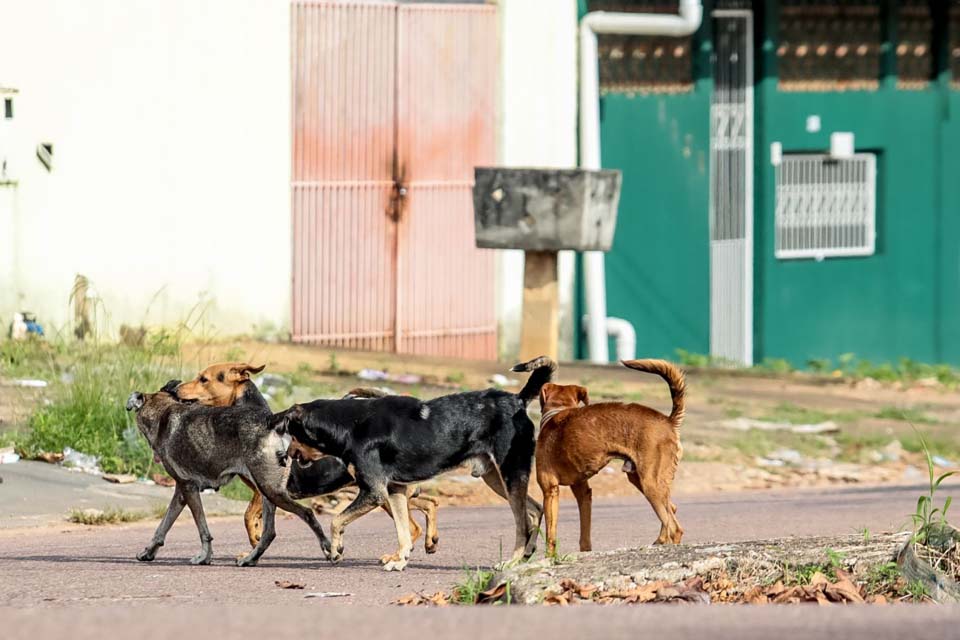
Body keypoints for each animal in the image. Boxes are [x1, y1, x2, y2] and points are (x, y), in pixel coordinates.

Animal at [124, 380, 334, 564]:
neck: (163, 412)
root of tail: (271, 421)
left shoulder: (188, 487)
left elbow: (203, 529)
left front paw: (204, 557)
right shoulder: (182, 492)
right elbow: (163, 526)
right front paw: (149, 551)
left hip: (271, 490)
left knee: (307, 513)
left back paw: (328, 547)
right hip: (267, 493)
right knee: (269, 532)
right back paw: (250, 559)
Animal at [274, 358, 556, 572]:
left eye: (292, 434)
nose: (284, 455)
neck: (349, 424)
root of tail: (518, 400)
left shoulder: (374, 492)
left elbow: (336, 520)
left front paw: (336, 550)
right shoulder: (395, 491)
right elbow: (403, 531)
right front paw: (400, 561)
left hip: (510, 473)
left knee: (522, 522)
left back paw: (513, 560)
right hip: (495, 478)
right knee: (534, 510)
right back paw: (526, 555)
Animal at [536, 360, 688, 556]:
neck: (557, 410)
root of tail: (669, 421)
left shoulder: (550, 490)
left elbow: (550, 535)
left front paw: (549, 558)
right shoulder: (583, 491)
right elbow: (585, 535)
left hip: (650, 484)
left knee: (674, 528)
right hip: (640, 478)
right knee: (672, 510)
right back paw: (660, 541)